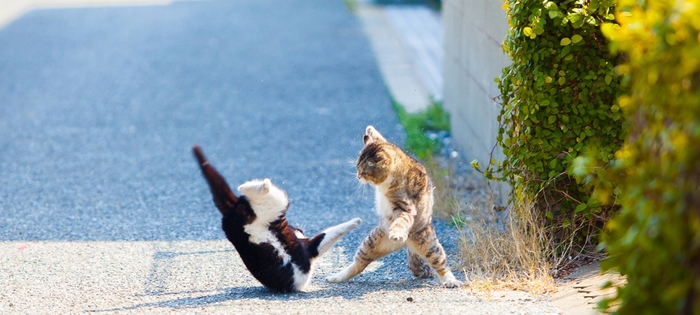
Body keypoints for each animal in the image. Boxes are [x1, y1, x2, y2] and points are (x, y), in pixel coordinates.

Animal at [194, 146, 364, 294]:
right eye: (299, 230)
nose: (301, 229)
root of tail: (234, 209)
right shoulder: (311, 249)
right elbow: (331, 232)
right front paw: (356, 221)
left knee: (246, 190)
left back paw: (255, 185)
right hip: (277, 204)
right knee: (262, 190)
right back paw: (263, 184)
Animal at [324, 126, 464, 288]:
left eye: (363, 171)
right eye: (357, 168)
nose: (358, 176)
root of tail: (406, 243)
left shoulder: (405, 208)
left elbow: (401, 221)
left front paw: (396, 232)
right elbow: (378, 135)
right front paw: (370, 130)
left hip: (428, 243)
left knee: (440, 263)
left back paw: (450, 280)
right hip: (371, 242)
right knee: (358, 264)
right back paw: (337, 277)